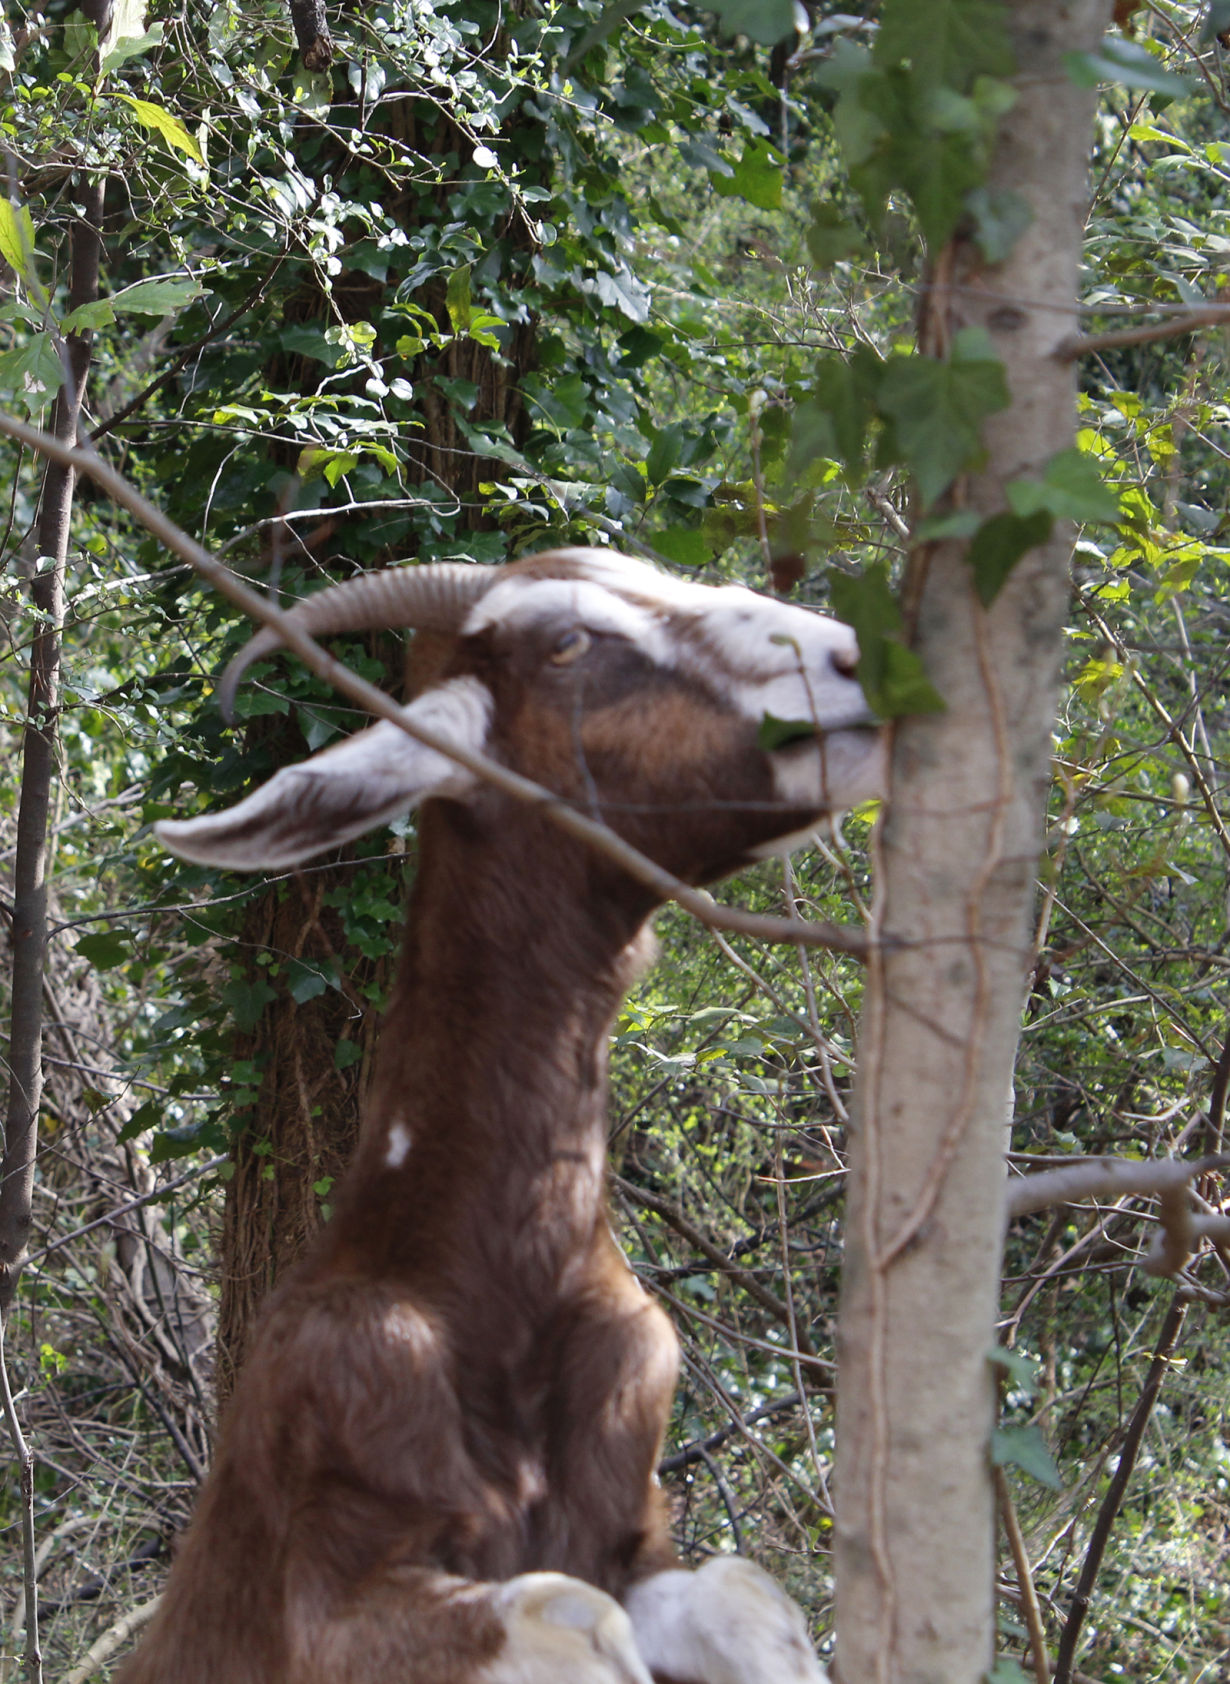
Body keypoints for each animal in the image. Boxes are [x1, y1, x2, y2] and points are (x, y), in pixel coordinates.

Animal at [129, 552, 882, 1684]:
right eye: (566, 644)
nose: (852, 657)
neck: (488, 1299)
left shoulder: (636, 1530)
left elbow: (744, 1597)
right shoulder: (333, 1589)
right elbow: (574, 1617)